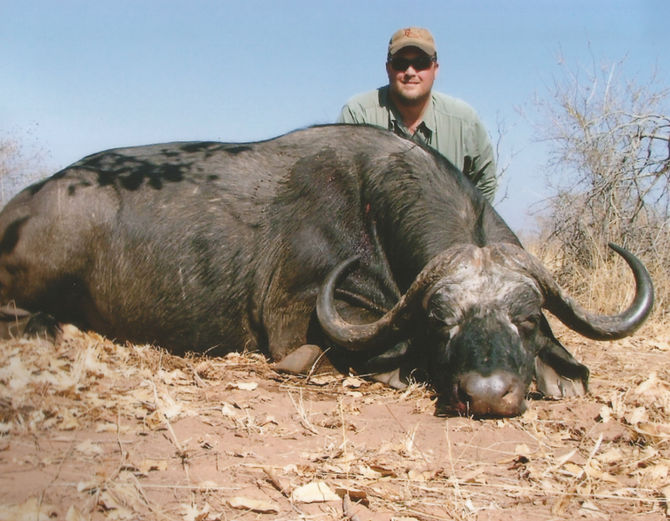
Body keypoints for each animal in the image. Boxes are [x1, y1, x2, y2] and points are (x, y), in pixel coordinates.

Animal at [0, 125, 653, 417]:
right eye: (441, 322)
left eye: (527, 320)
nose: (488, 394)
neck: (369, 205)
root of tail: (28, 200)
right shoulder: (299, 317)